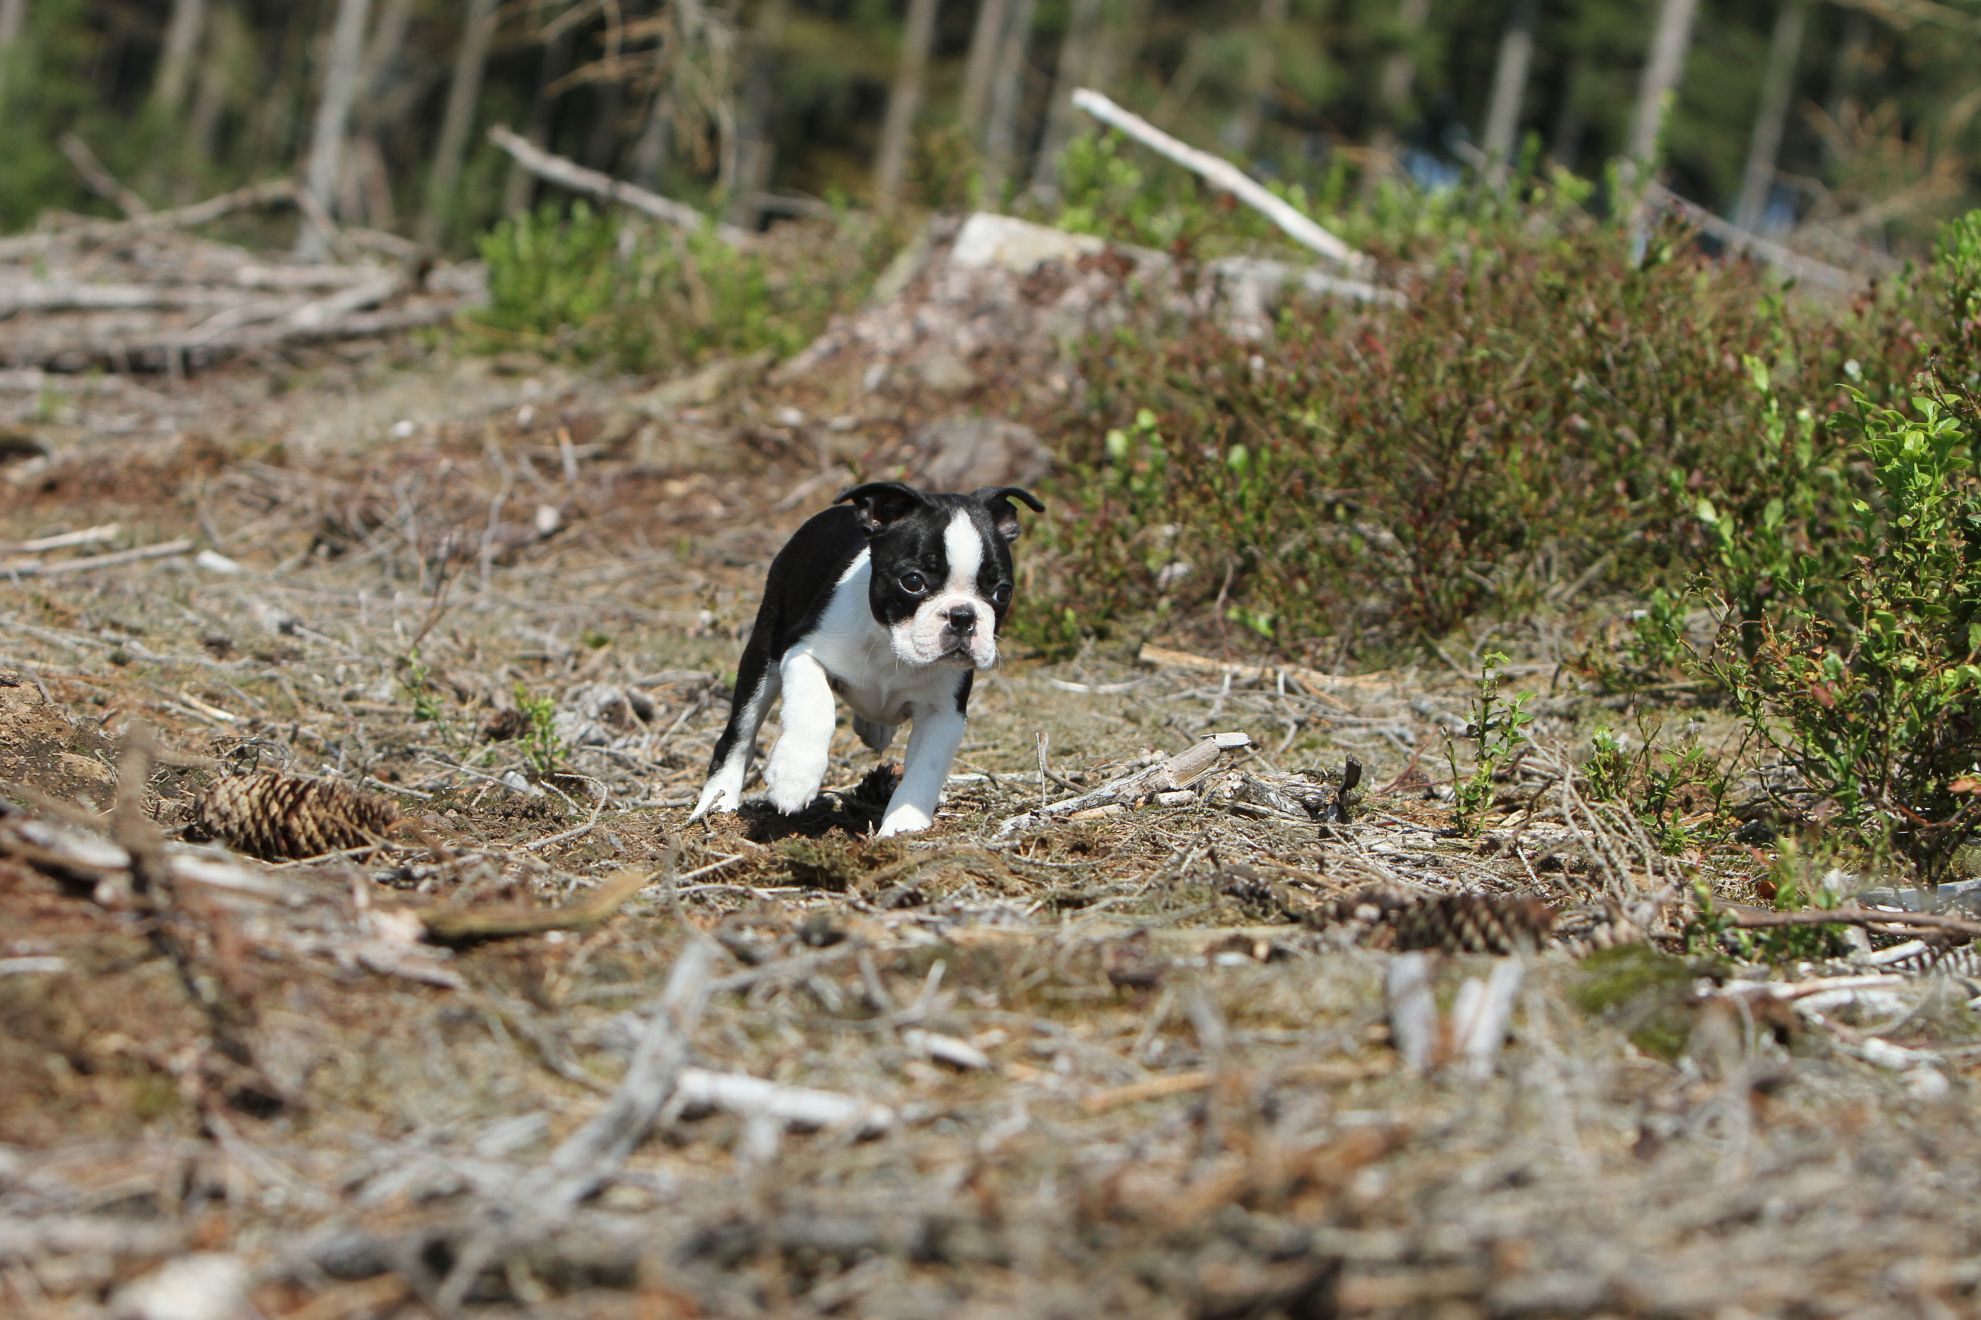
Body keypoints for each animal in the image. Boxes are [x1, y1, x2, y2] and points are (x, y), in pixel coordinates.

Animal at [689, 481, 1045, 832]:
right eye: (912, 581)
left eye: (1002, 591)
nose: (962, 616)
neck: (890, 645)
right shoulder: (802, 651)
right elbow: (815, 706)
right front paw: (795, 776)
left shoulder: (944, 713)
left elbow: (927, 765)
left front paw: (904, 824)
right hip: (765, 650)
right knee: (739, 735)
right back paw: (718, 803)